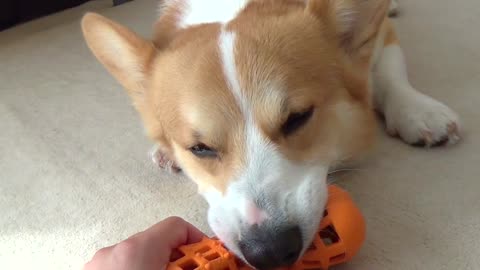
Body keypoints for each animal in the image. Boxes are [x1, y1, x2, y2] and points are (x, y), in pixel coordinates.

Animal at [80, 1, 460, 268]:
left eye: (297, 118)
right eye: (199, 148)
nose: (272, 251)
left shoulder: (382, 39)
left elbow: (390, 74)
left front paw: (420, 112)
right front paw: (164, 151)